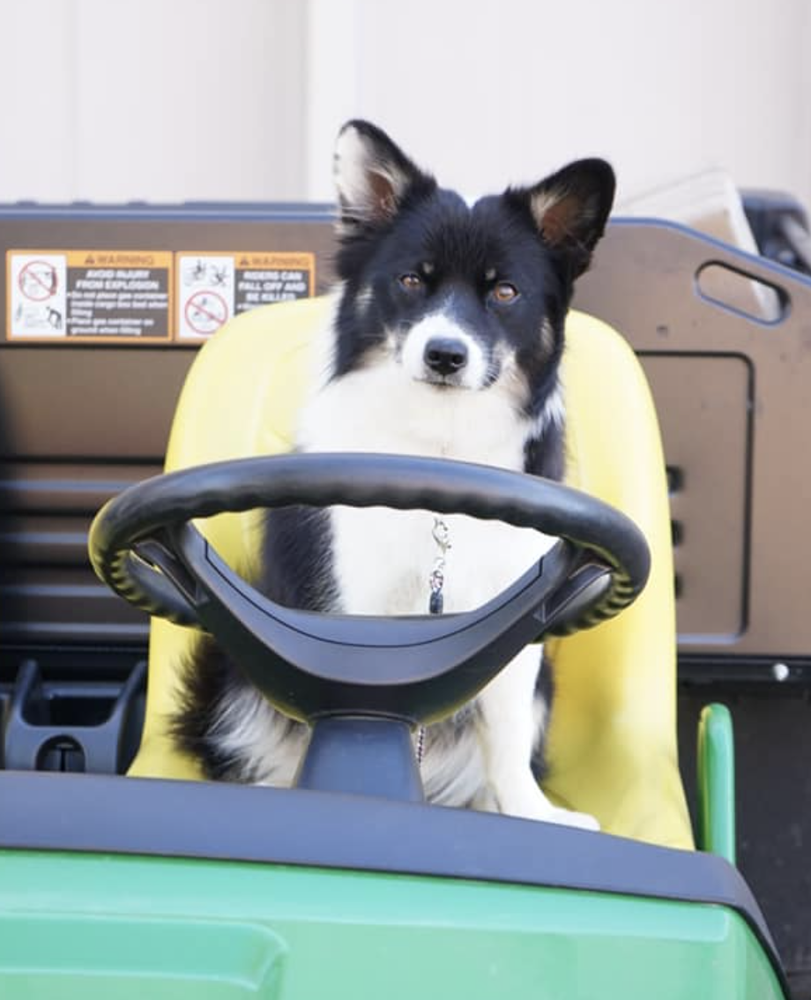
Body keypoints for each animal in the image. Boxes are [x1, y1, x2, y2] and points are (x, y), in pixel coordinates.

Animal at [173, 119, 616, 828]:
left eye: (504, 292)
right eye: (412, 280)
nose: (445, 355)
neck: (437, 448)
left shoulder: (520, 613)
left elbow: (509, 734)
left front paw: (533, 814)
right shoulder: (356, 605)